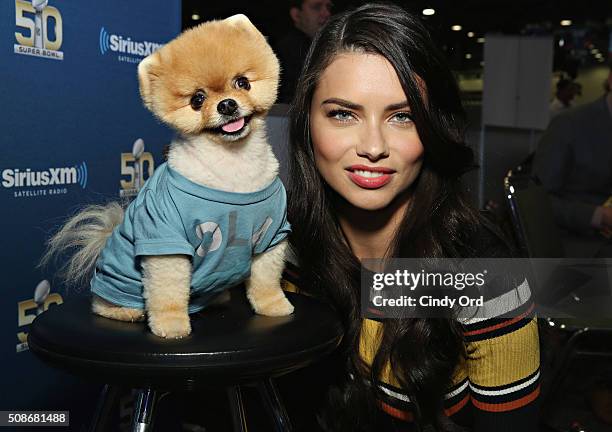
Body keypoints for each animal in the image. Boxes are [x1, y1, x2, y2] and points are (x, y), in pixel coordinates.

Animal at [41, 13, 294, 340]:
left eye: (243, 82)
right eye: (197, 100)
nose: (227, 104)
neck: (233, 167)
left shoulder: (272, 234)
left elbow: (266, 280)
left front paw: (274, 305)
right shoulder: (165, 238)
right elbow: (168, 292)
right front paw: (171, 325)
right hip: (119, 281)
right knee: (103, 303)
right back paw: (123, 310)